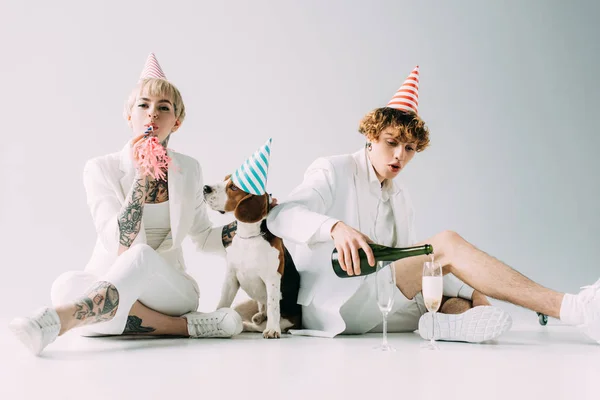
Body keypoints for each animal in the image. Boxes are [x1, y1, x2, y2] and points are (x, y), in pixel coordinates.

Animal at [204, 175, 302, 338]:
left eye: (234, 187)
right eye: (225, 179)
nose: (205, 188)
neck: (248, 237)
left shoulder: (272, 278)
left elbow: (273, 306)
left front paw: (272, 329)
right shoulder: (231, 278)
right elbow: (223, 302)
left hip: (287, 321)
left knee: (262, 321)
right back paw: (258, 316)